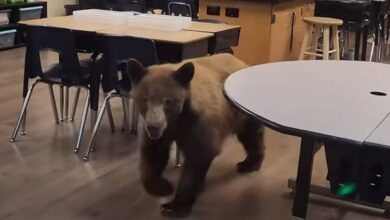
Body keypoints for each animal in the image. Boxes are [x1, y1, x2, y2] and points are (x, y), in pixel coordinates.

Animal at [129, 53, 266, 218]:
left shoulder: (198, 124)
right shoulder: (162, 131)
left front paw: (174, 206)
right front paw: (161, 186)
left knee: (251, 136)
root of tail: (242, 62)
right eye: (145, 99)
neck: (177, 119)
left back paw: (249, 163)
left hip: (242, 112)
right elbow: (153, 152)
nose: (153, 126)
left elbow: (197, 158)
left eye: (168, 101)